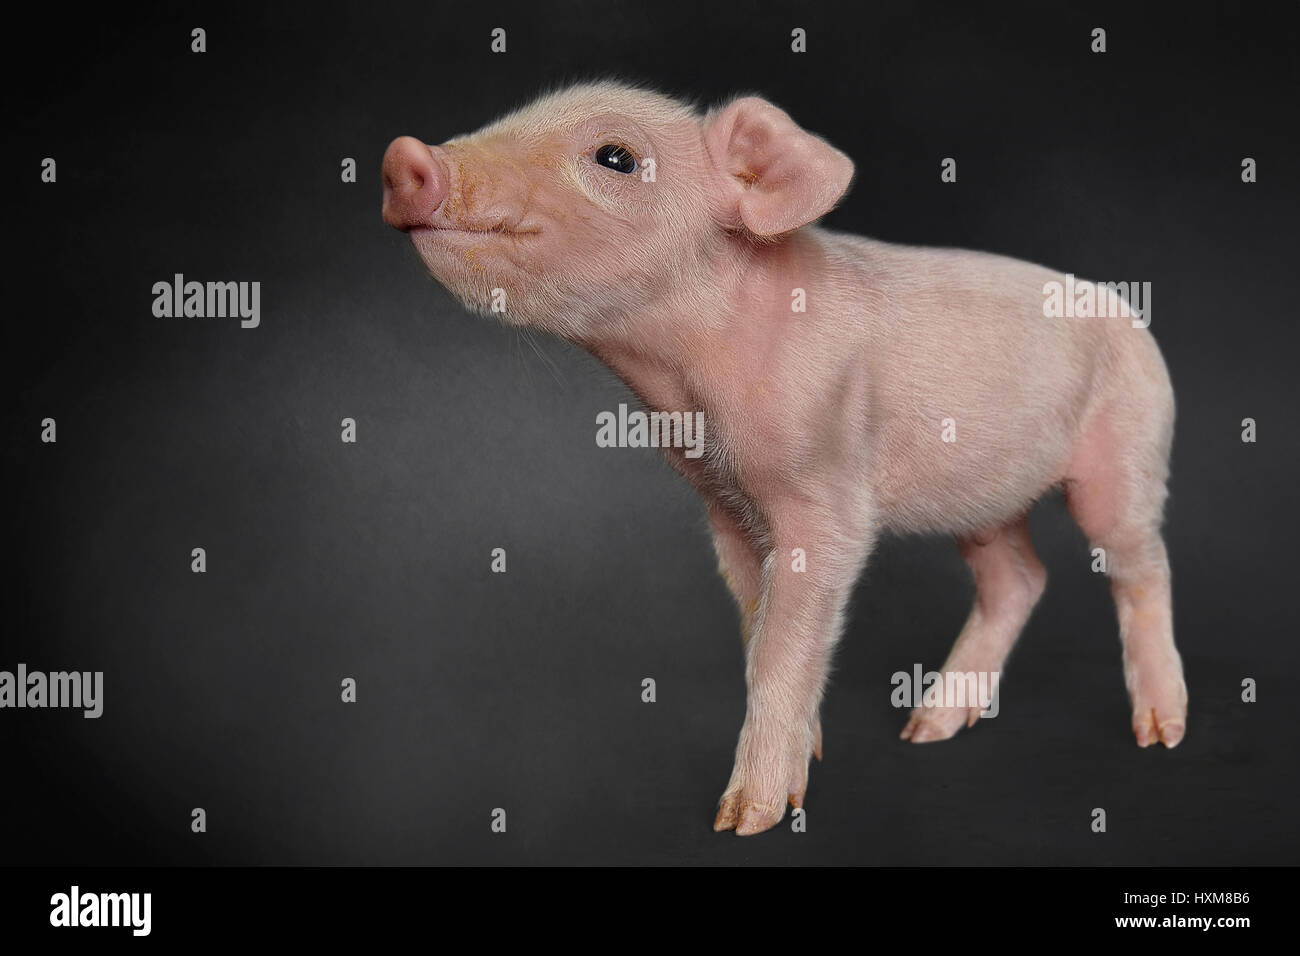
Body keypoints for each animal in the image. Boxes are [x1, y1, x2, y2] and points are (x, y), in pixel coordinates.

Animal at [380, 82, 1187, 836]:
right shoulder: (725, 504)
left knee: (1140, 564)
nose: (405, 156)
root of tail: (1134, 318)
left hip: (1127, 449)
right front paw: (812, 755)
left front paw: (747, 819)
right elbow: (755, 626)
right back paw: (927, 728)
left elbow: (782, 643)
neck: (682, 384)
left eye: (616, 157)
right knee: (1020, 578)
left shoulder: (825, 493)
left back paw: (1160, 732)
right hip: (986, 497)